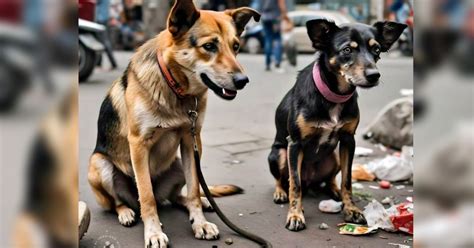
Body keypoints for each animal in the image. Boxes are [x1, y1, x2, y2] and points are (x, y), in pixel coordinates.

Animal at [87, 0, 262, 247]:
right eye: (209, 46)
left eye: (236, 46)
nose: (242, 81)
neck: (174, 87)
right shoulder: (138, 145)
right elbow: (147, 196)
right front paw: (153, 233)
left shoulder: (191, 141)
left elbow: (193, 190)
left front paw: (200, 223)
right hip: (99, 165)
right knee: (120, 201)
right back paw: (126, 212)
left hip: (179, 164)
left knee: (180, 195)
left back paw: (199, 202)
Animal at [268, 19, 406, 231]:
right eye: (347, 49)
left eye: (376, 50)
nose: (374, 75)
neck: (334, 95)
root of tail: (311, 181)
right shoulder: (295, 143)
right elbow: (295, 184)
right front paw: (295, 215)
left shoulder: (348, 141)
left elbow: (347, 181)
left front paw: (351, 209)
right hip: (279, 154)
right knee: (285, 179)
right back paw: (280, 192)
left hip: (334, 156)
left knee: (330, 179)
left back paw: (333, 190)